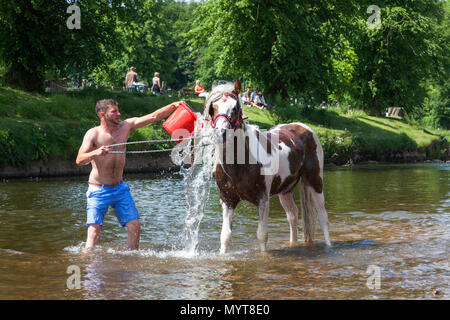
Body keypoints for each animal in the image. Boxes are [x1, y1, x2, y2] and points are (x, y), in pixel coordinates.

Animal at [203, 80, 330, 255]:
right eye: (212, 108)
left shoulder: (263, 199)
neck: (239, 165)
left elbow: (262, 235)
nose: (220, 134)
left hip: (315, 181)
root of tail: (304, 127)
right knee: (293, 215)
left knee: (322, 215)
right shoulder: (227, 200)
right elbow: (225, 236)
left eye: (235, 107)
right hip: (285, 190)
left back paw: (329, 246)